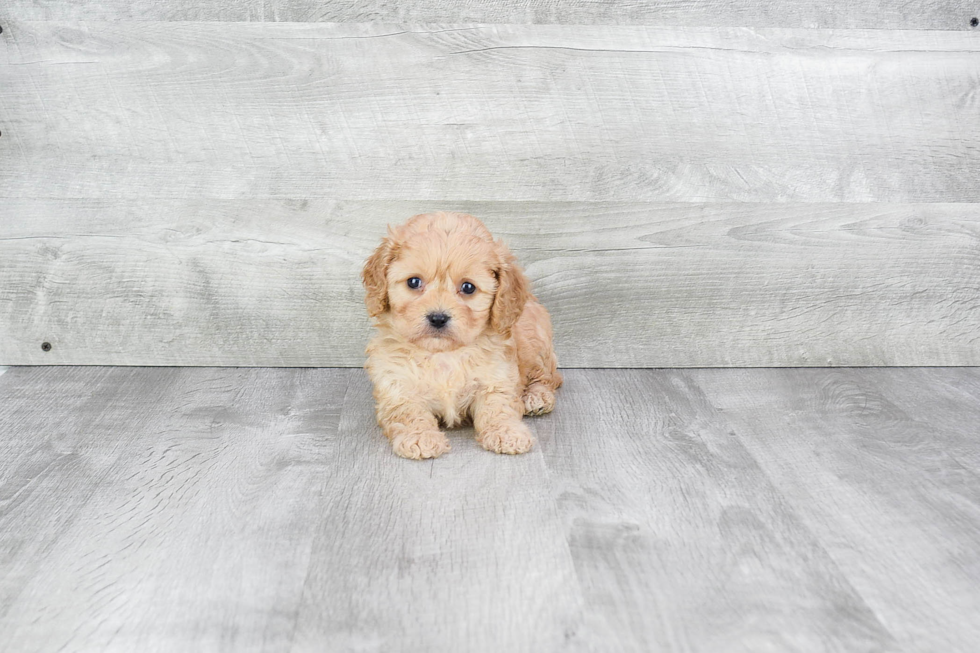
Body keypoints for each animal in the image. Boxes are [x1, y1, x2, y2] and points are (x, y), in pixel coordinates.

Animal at [362, 210, 564, 458]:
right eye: (414, 282)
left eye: (468, 287)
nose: (438, 318)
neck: (442, 354)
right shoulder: (397, 383)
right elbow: (408, 413)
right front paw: (420, 437)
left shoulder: (496, 378)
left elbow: (498, 407)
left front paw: (507, 433)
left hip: (535, 338)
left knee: (547, 376)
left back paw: (536, 397)